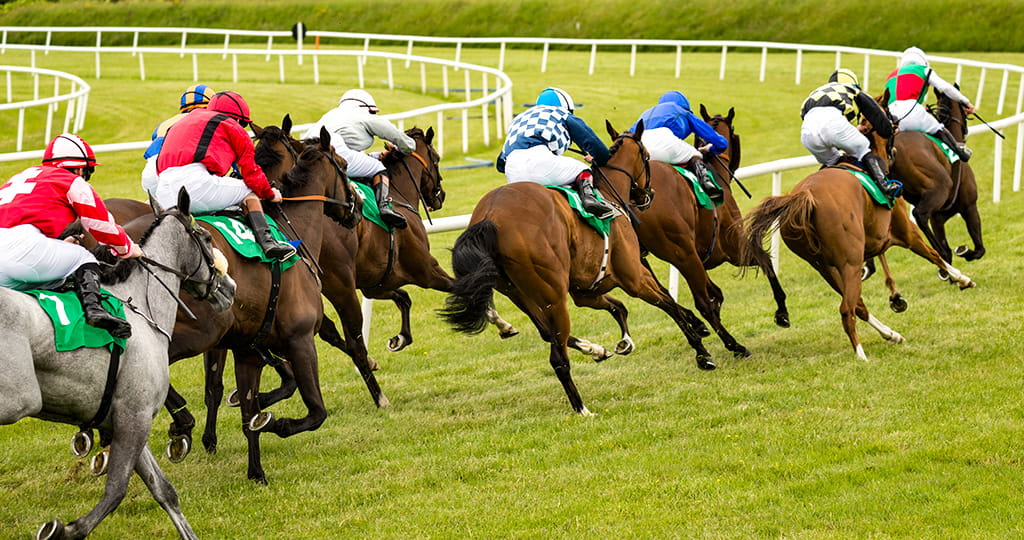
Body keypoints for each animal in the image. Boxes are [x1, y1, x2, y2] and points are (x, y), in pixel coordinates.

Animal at [0, 191, 234, 540]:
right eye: (205, 237)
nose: (230, 288)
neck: (140, 304)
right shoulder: (134, 417)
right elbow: (116, 490)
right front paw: (67, 529)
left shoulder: (124, 416)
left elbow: (163, 489)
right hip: (19, 399)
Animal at [442, 122, 720, 416]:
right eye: (646, 156)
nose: (649, 194)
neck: (608, 193)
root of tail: (490, 216)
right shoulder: (634, 276)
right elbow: (667, 304)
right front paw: (702, 350)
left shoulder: (585, 291)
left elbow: (620, 307)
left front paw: (622, 342)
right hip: (553, 296)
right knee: (557, 357)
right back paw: (581, 408)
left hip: (518, 294)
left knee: (548, 334)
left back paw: (593, 349)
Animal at [741, 115, 970, 358]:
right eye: (890, 122)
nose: (896, 129)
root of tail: (805, 196)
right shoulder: (905, 231)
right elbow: (933, 255)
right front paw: (961, 278)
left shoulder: (874, 241)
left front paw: (896, 298)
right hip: (849, 263)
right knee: (847, 308)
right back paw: (861, 354)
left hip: (824, 268)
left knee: (857, 304)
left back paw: (891, 334)